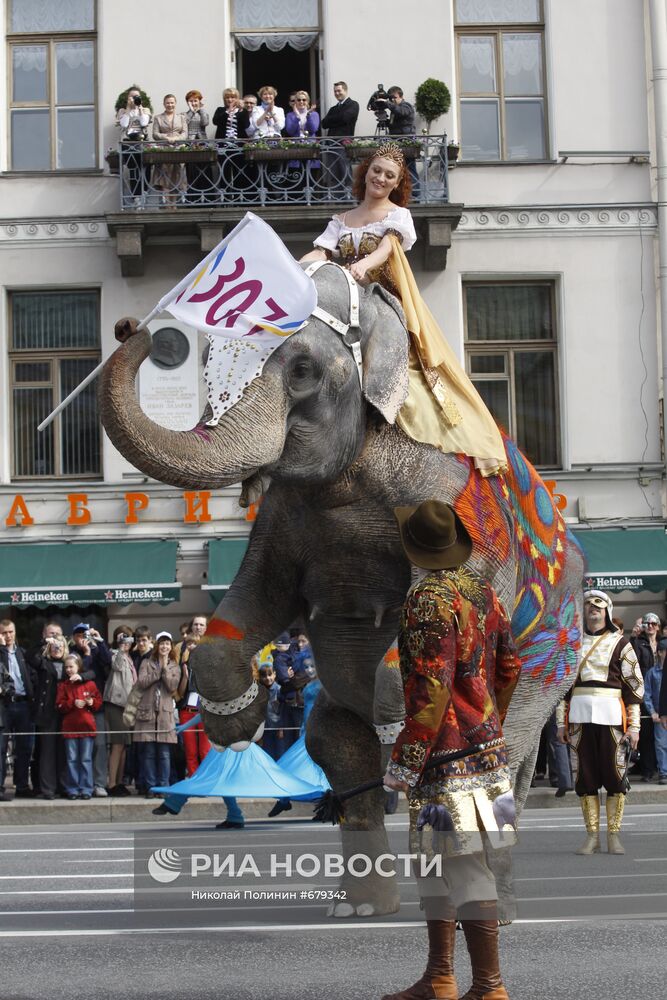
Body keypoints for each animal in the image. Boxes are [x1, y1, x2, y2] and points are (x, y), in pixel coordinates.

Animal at [99, 262, 584, 916]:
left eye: (302, 369)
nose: (133, 329)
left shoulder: (455, 497)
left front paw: (401, 729)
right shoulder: (282, 518)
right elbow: (257, 598)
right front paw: (237, 726)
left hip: (549, 664)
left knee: (505, 746)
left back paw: (490, 904)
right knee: (331, 739)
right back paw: (364, 905)